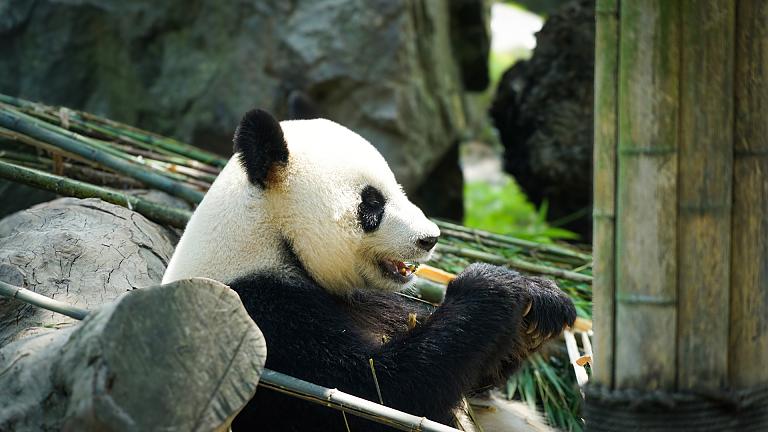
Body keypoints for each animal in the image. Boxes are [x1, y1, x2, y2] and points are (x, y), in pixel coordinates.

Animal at [162, 109, 576, 431]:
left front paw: (541, 304)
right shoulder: (261, 317)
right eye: (372, 203)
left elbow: (475, 381)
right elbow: (382, 392)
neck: (267, 236)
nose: (431, 238)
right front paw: (492, 286)